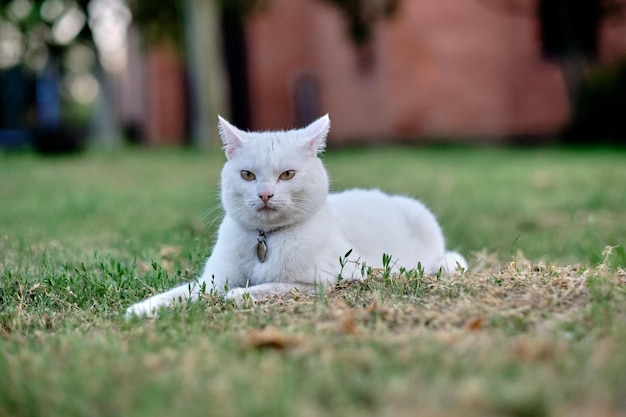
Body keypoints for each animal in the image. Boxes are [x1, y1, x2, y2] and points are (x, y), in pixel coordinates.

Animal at [125, 114, 464, 316]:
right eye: (247, 175)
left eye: (287, 174)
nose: (264, 194)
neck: (266, 240)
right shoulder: (213, 279)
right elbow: (180, 293)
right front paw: (141, 309)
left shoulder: (322, 282)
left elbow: (269, 286)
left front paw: (239, 295)